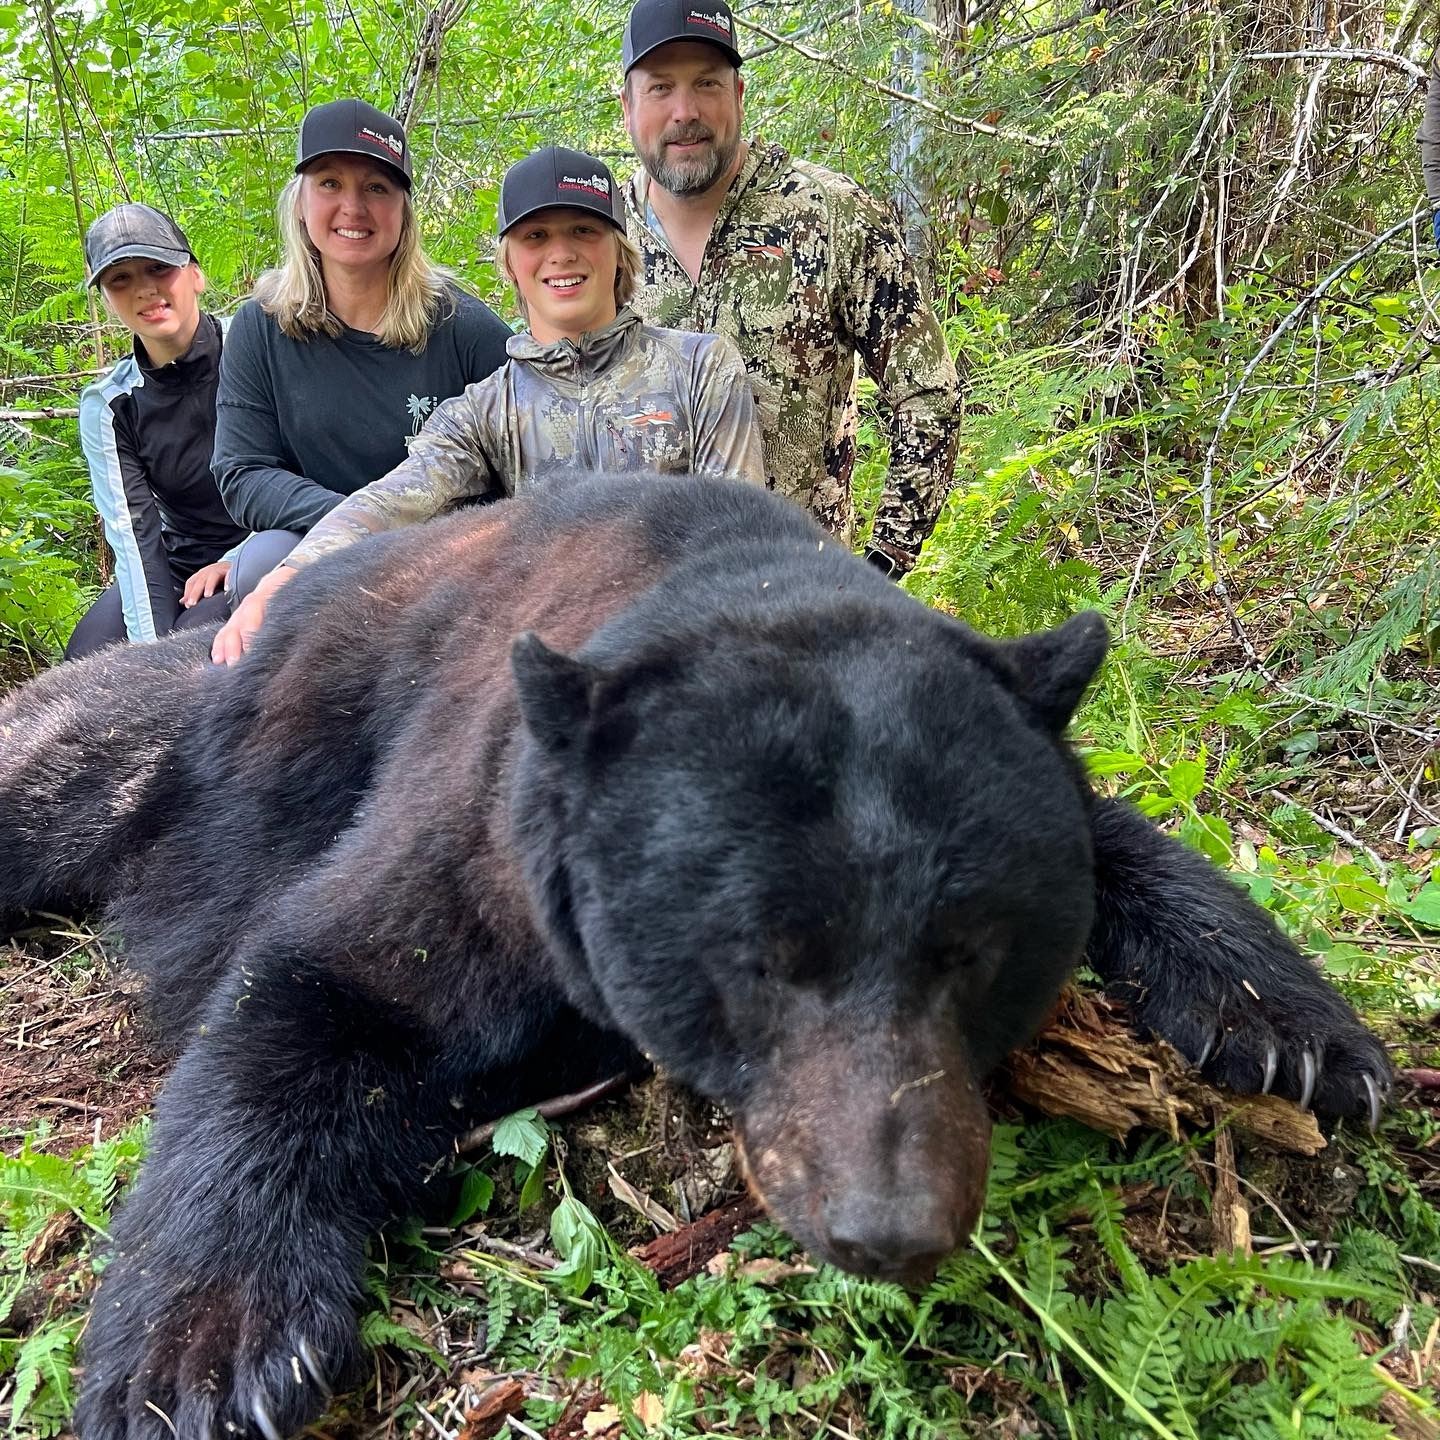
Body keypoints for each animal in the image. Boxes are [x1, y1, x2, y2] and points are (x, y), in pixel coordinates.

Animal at [0, 475, 1390, 1440]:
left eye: (971, 952)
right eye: (759, 959)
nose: (890, 1225)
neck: (729, 574)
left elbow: (1115, 835)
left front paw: (1296, 1029)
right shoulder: (490, 822)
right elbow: (324, 987)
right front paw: (201, 1356)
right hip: (150, 743)